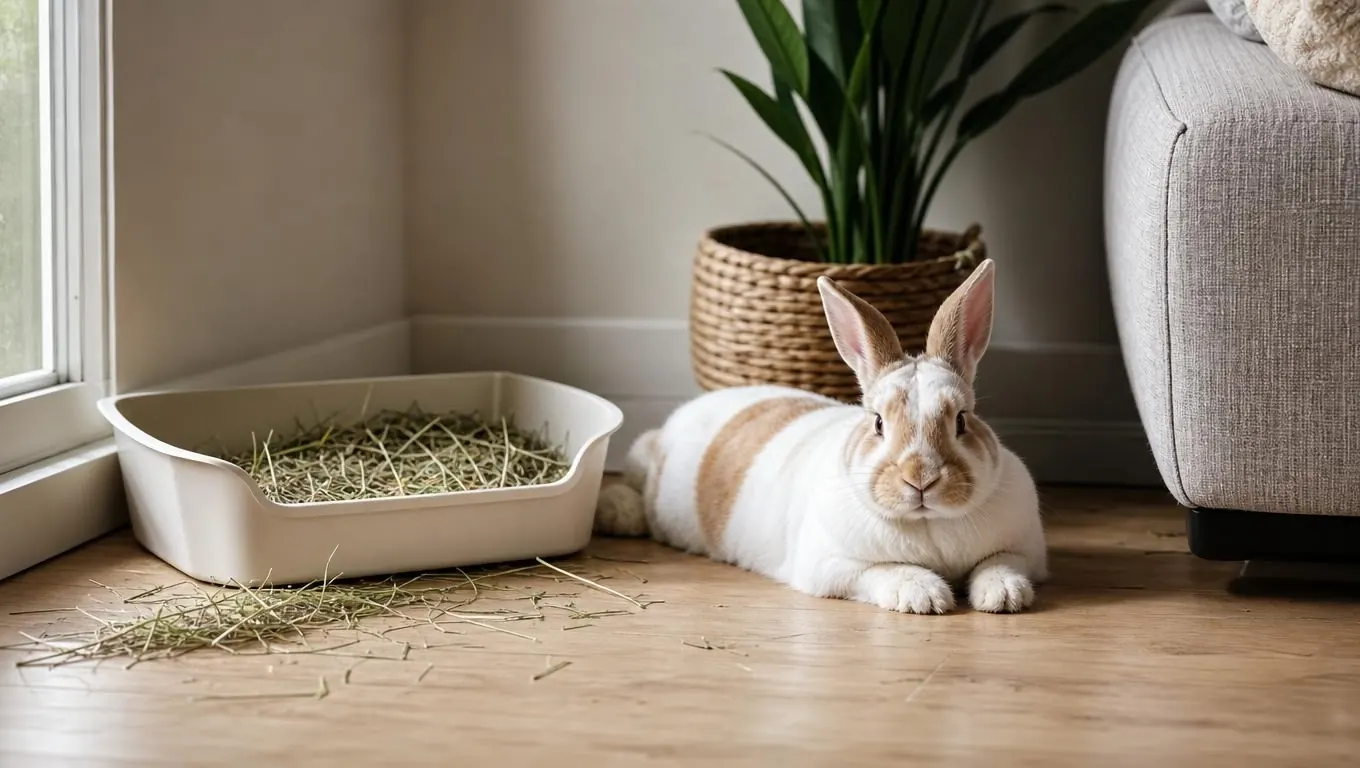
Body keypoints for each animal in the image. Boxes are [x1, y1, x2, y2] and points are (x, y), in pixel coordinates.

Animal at [594, 258, 1048, 614]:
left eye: (962, 421)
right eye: (878, 422)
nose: (920, 478)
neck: (928, 524)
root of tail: (680, 417)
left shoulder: (1026, 550)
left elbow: (1002, 563)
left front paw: (1004, 595)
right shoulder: (832, 566)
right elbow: (883, 570)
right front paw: (922, 595)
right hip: (646, 463)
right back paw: (618, 513)